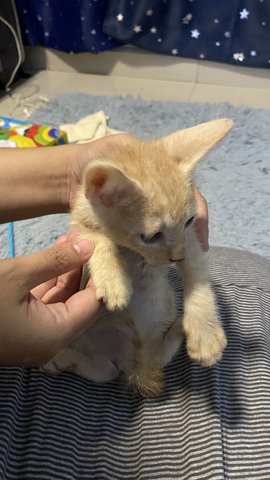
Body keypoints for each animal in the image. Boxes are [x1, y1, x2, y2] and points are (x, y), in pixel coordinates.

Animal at [42, 118, 232, 396]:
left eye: (189, 221)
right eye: (151, 237)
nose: (176, 257)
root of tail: (134, 361)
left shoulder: (191, 241)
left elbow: (197, 275)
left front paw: (204, 331)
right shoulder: (78, 224)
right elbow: (97, 240)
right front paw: (113, 281)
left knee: (152, 357)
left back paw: (180, 327)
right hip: (100, 353)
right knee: (102, 370)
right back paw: (57, 359)